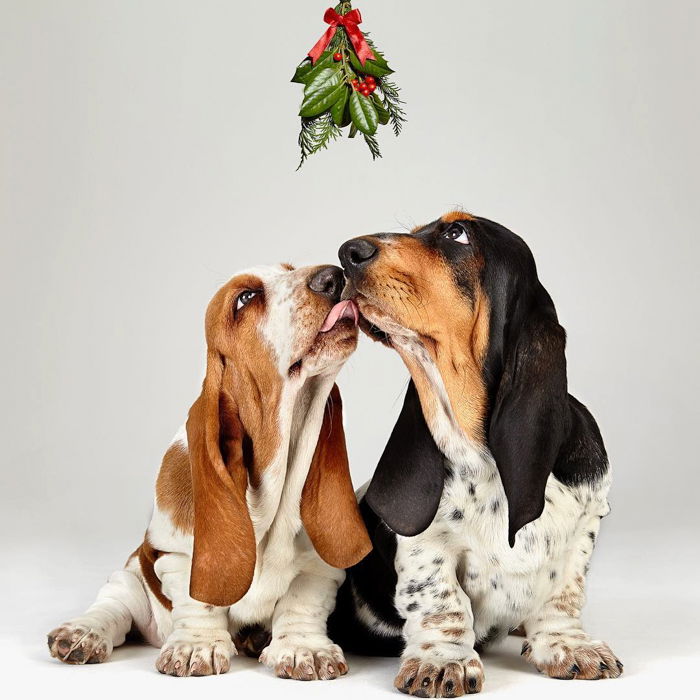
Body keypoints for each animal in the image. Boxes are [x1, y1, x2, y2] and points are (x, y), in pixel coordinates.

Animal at [47, 262, 372, 680]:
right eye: (245, 298)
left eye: (290, 268)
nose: (334, 274)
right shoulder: (175, 555)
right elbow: (197, 600)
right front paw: (195, 647)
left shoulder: (321, 568)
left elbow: (302, 601)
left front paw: (305, 649)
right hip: (130, 577)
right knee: (112, 606)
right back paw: (82, 634)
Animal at [330, 212, 620, 696]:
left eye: (457, 234)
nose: (346, 253)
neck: (480, 453)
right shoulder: (425, 547)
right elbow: (443, 603)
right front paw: (442, 662)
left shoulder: (585, 526)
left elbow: (562, 593)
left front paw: (569, 646)